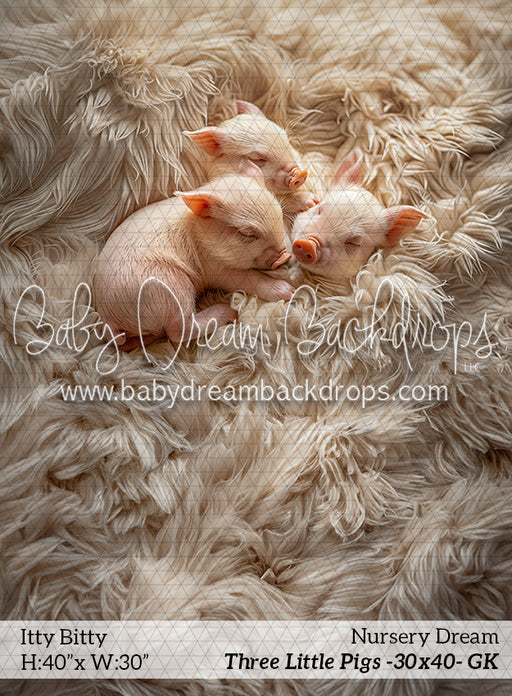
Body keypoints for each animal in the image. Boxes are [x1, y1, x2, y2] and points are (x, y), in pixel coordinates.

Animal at [93, 165, 294, 347]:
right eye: (247, 233)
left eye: (280, 213)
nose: (284, 256)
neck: (199, 233)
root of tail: (108, 317)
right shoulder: (213, 266)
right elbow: (247, 278)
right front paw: (289, 292)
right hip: (169, 286)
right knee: (178, 330)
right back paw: (229, 312)